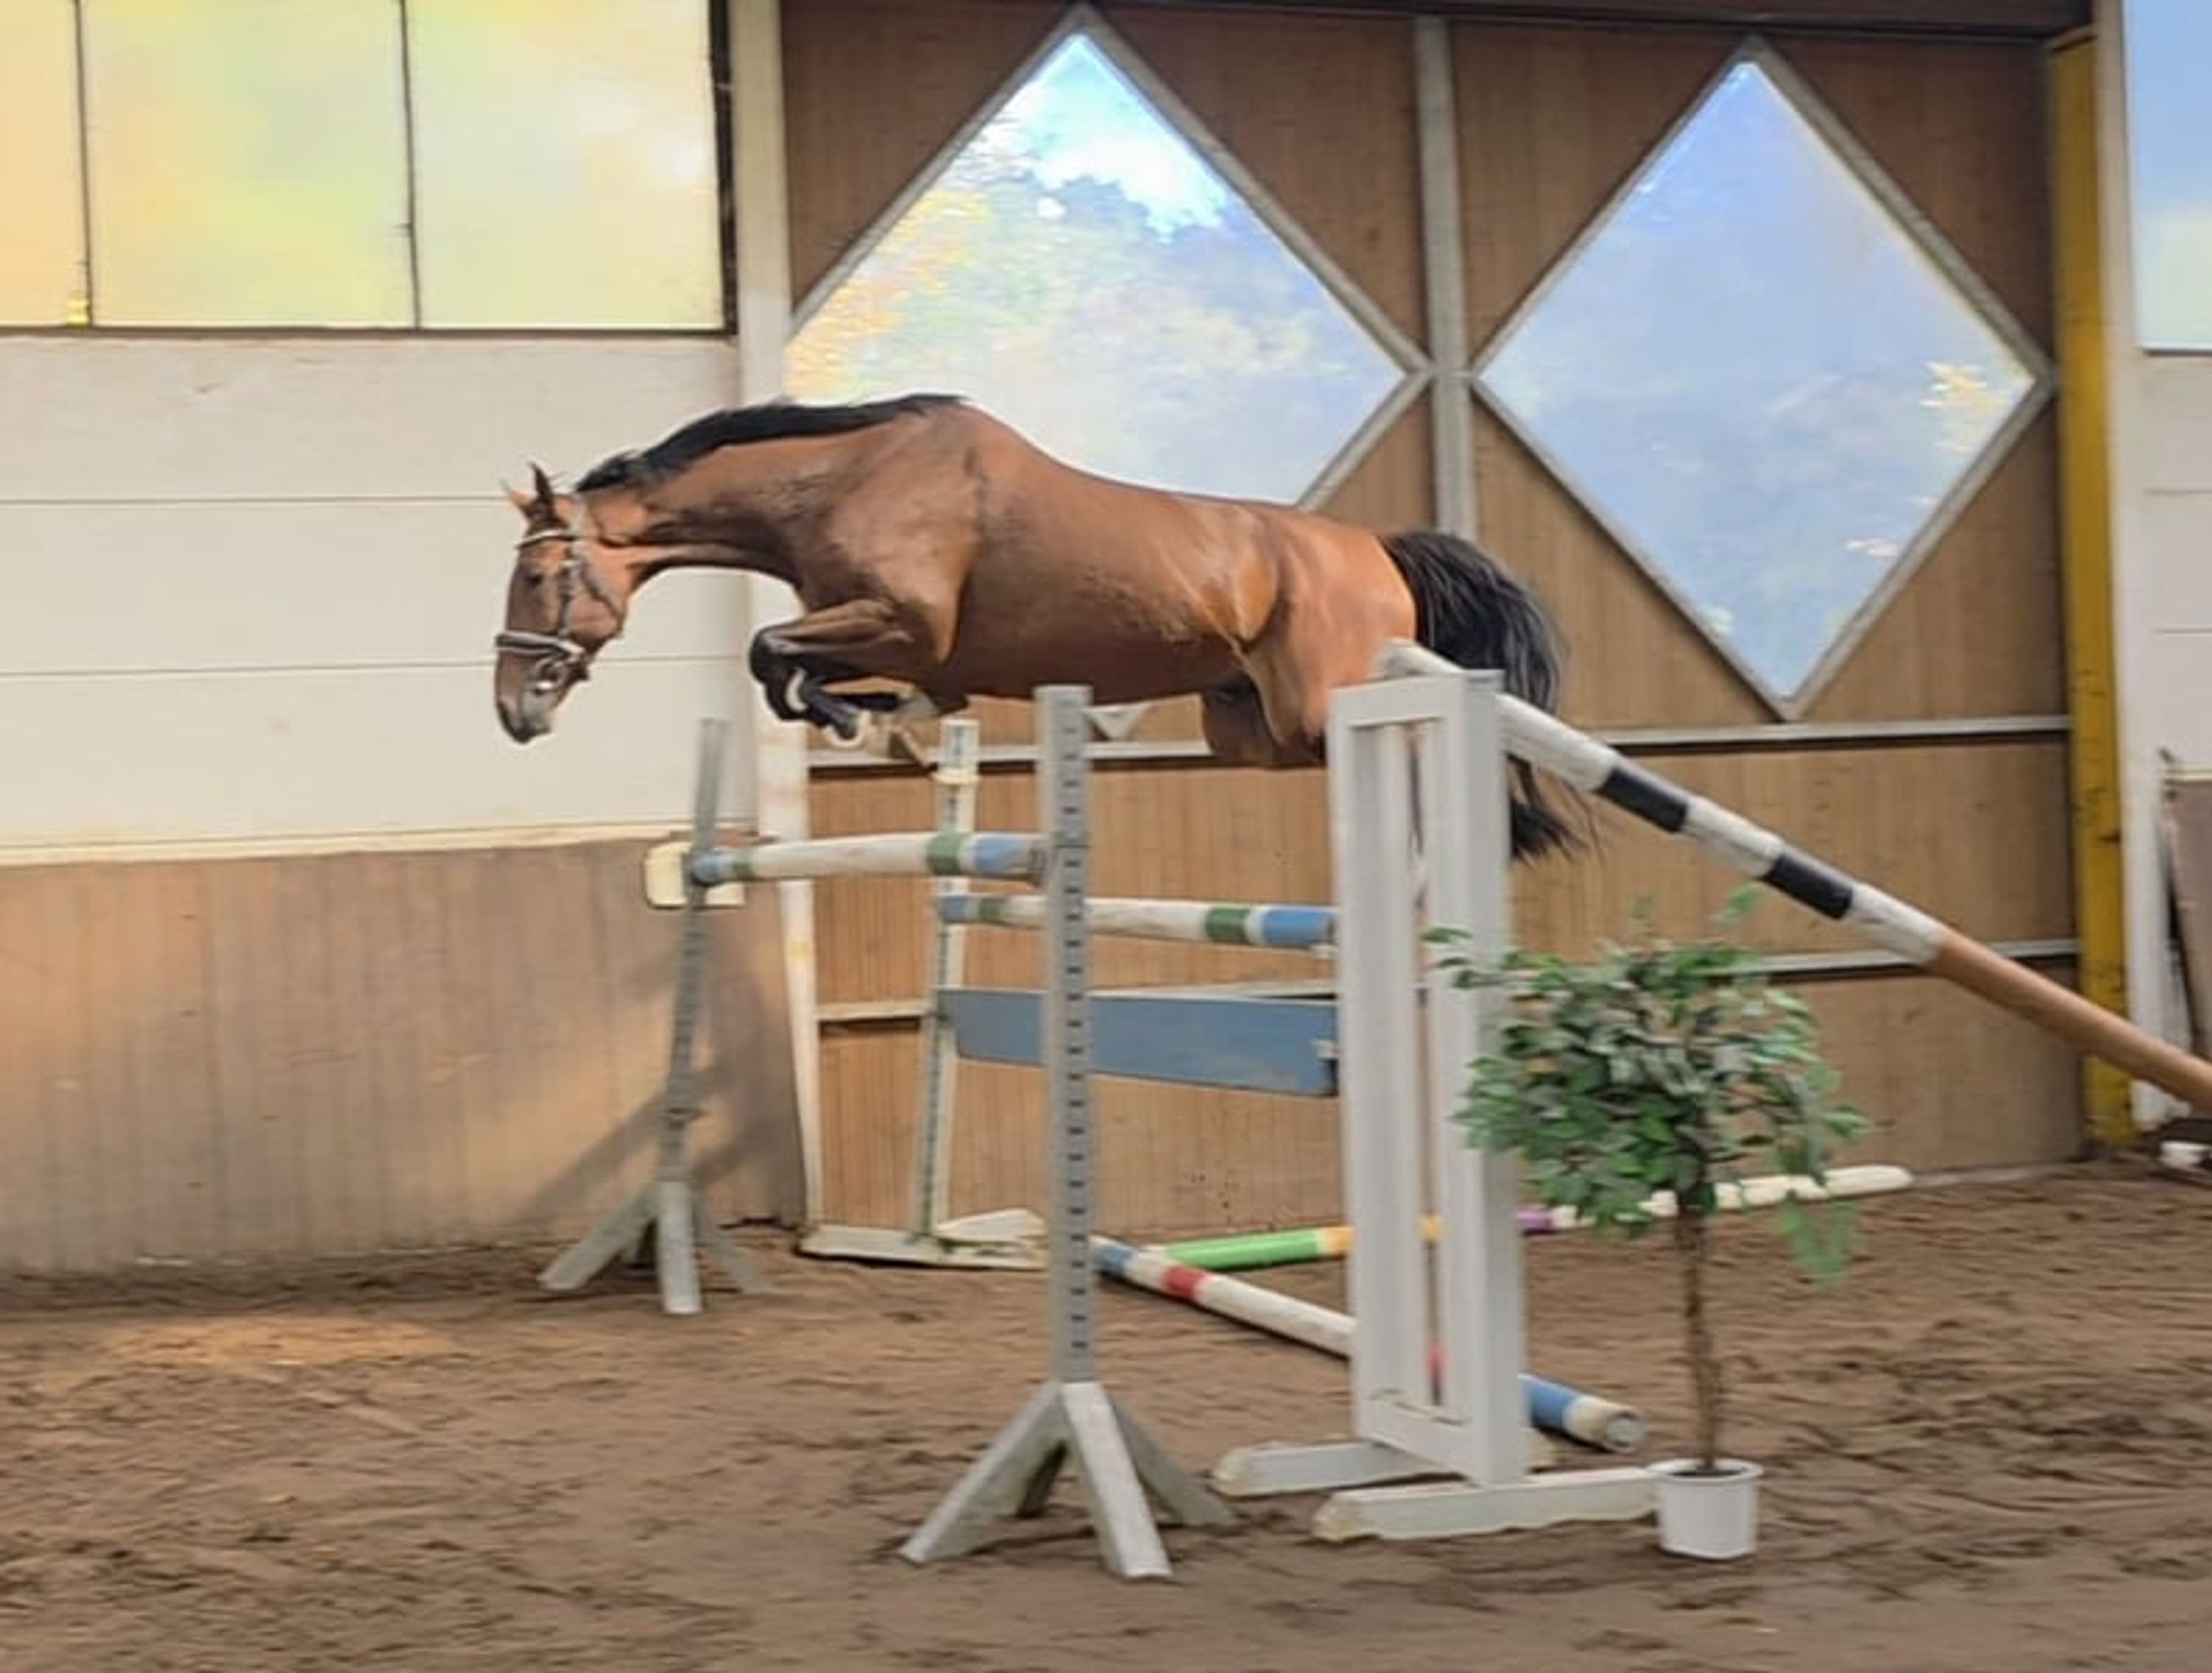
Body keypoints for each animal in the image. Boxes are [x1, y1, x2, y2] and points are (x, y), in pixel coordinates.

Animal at [492, 392, 1583, 860]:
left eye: (540, 576)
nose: (514, 712)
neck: (840, 481)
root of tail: (1376, 547)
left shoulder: (905, 624)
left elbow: (776, 655)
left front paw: (842, 715)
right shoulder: (906, 647)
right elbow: (801, 673)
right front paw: (857, 717)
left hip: (1321, 707)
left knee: (1425, 734)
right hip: (1252, 724)